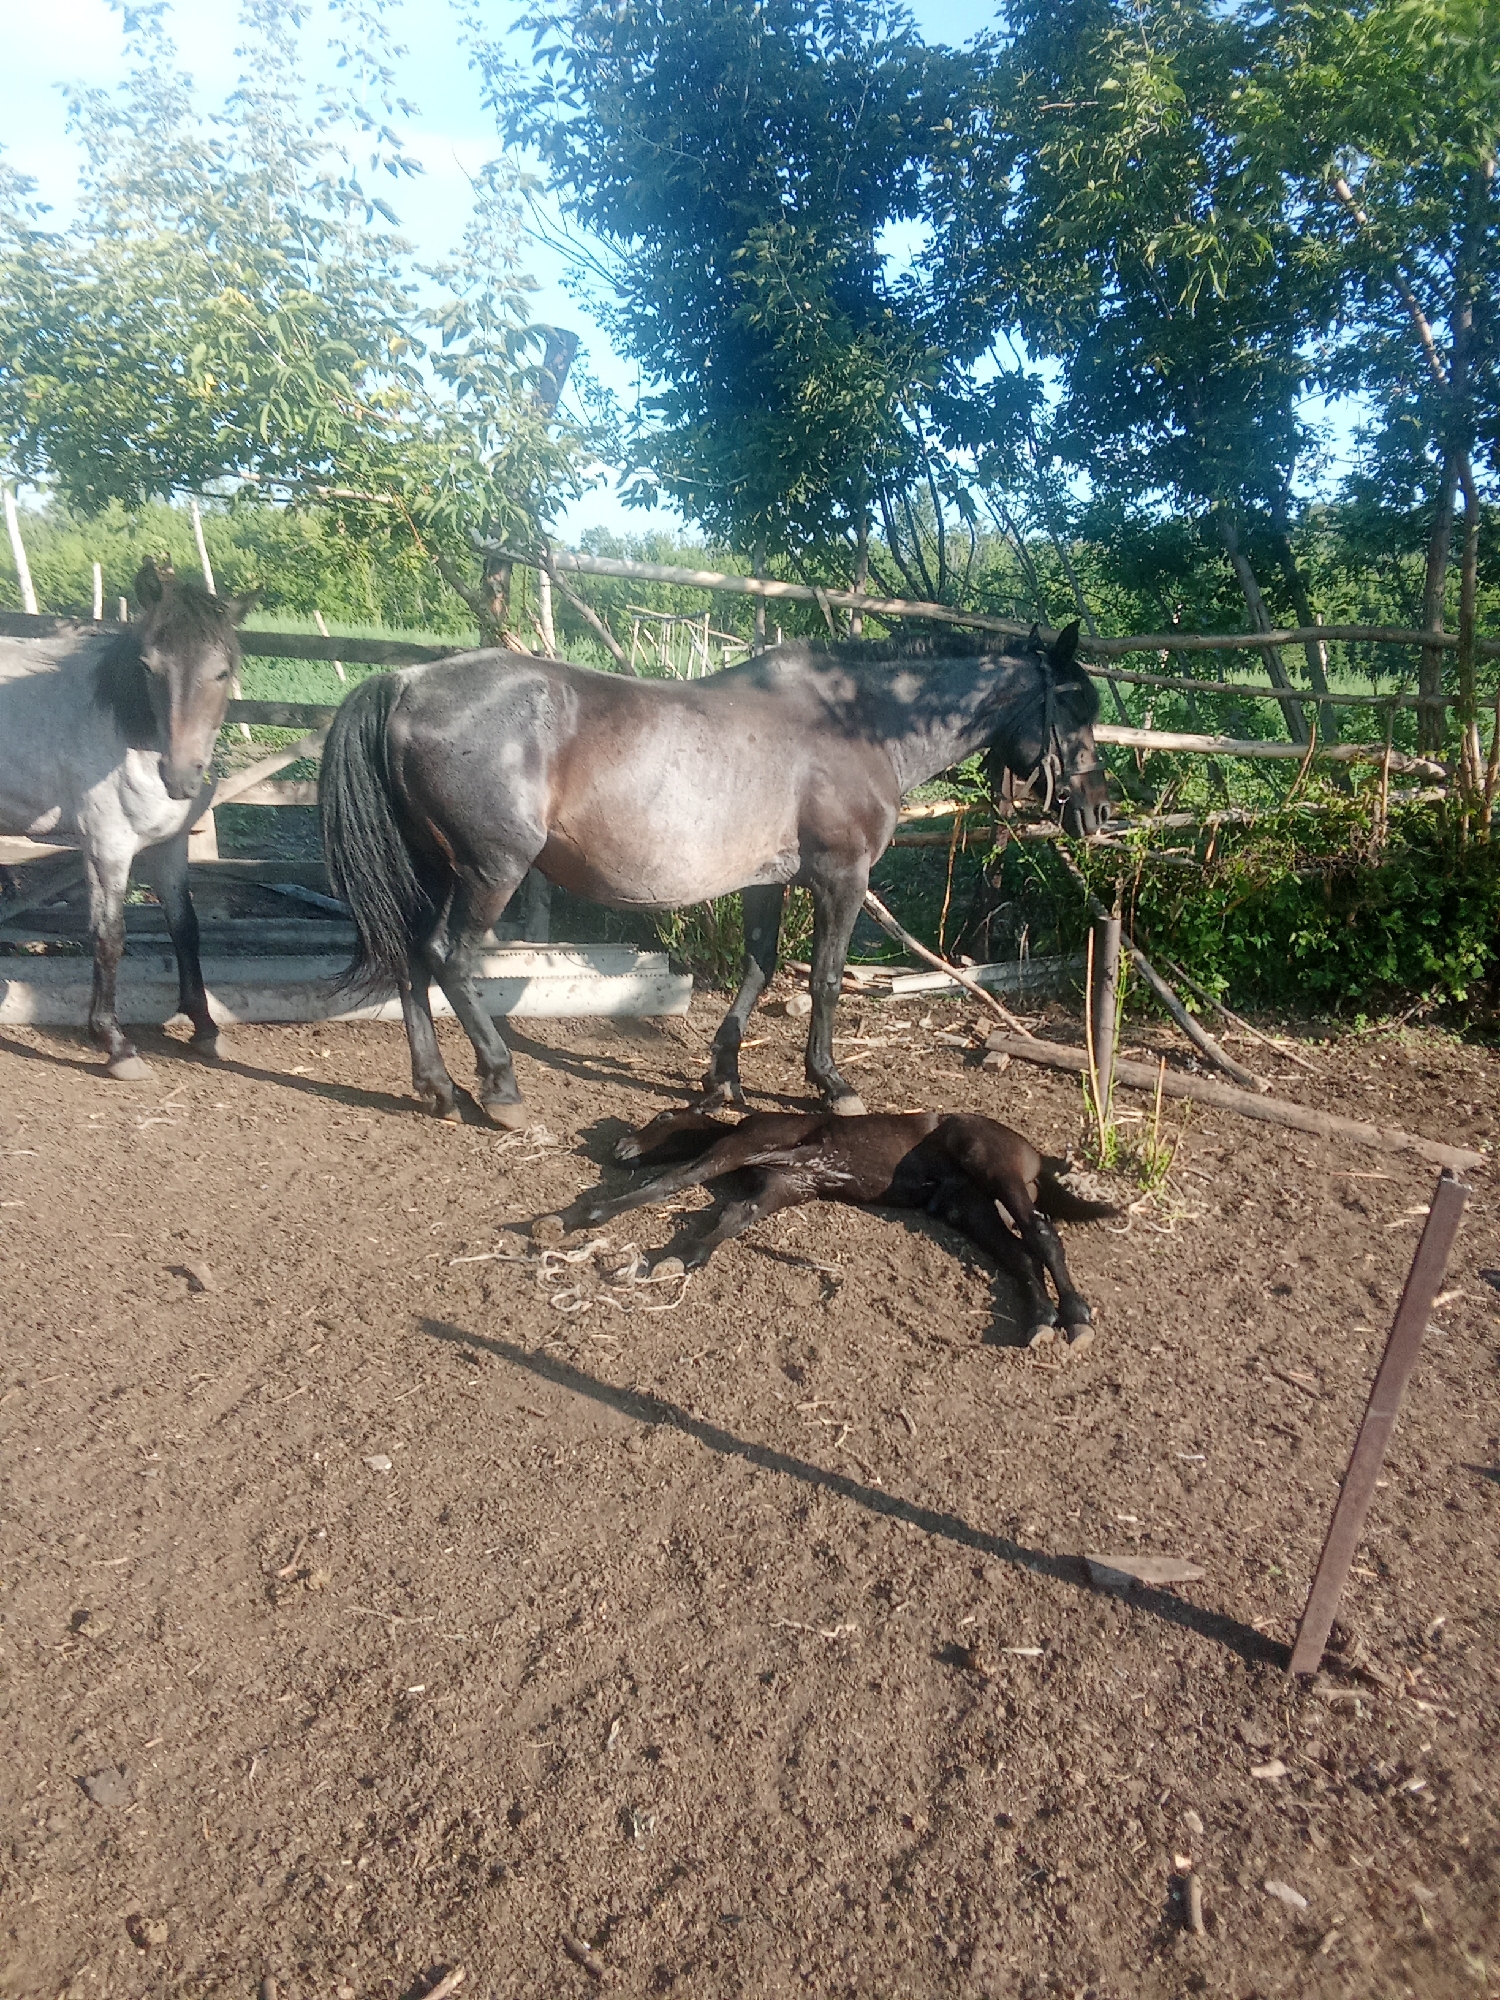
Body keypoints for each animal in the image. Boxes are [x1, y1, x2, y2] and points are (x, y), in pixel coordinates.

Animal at [0, 558, 255, 1079]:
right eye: (148, 667)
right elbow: (110, 935)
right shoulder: (108, 845)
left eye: (221, 672)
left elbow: (184, 926)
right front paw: (116, 1045)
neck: (123, 726)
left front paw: (204, 1028)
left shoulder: (169, 845)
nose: (179, 778)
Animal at [319, 621, 1108, 1127]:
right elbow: (825, 980)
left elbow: (760, 966)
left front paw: (723, 1078)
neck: (856, 725)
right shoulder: (842, 876)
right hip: (491, 870)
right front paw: (831, 1082)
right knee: (448, 958)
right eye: (1073, 706)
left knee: (411, 957)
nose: (1098, 811)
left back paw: (437, 1089)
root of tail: (407, 681)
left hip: (433, 870)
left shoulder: (766, 879)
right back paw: (499, 1086)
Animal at [588, 1103, 1116, 1348]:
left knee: (1042, 1234)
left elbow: (680, 1178)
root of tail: (1035, 1154)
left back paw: (1076, 1316)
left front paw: (595, 1214)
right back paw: (1042, 1320)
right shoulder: (784, 1185)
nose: (617, 1148)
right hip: (968, 1209)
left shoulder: (747, 1147)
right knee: (1020, 1255)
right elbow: (733, 1216)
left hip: (994, 1169)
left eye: (662, 1115)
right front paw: (686, 1255)